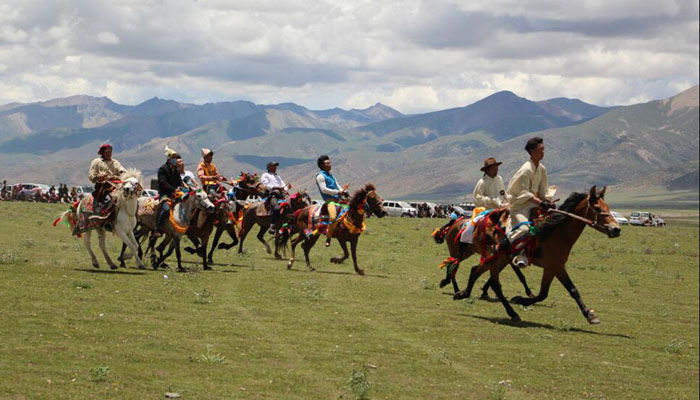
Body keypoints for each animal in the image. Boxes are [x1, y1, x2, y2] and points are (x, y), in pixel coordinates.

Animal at [452, 186, 620, 324]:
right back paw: (512, 313)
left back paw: (462, 294)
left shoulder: (551, 268)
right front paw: (590, 315)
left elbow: (543, 293)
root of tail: (478, 224)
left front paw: (521, 299)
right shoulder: (557, 266)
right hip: (495, 258)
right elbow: (572, 290)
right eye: (597, 208)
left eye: (608, 207)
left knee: (476, 271)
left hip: (499, 259)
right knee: (494, 283)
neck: (556, 232)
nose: (616, 229)